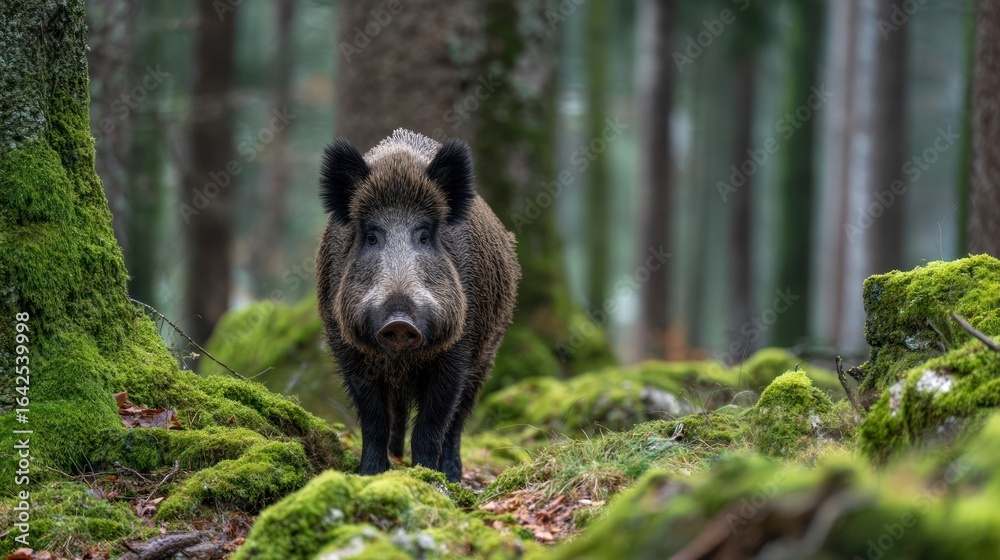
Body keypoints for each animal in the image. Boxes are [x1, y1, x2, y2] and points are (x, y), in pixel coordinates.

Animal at [316, 129, 520, 482]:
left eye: (424, 236)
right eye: (371, 237)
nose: (399, 322)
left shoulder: (458, 351)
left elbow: (433, 424)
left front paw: (430, 477)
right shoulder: (347, 350)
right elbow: (373, 420)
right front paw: (369, 475)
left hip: (487, 355)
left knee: (458, 419)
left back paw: (452, 472)